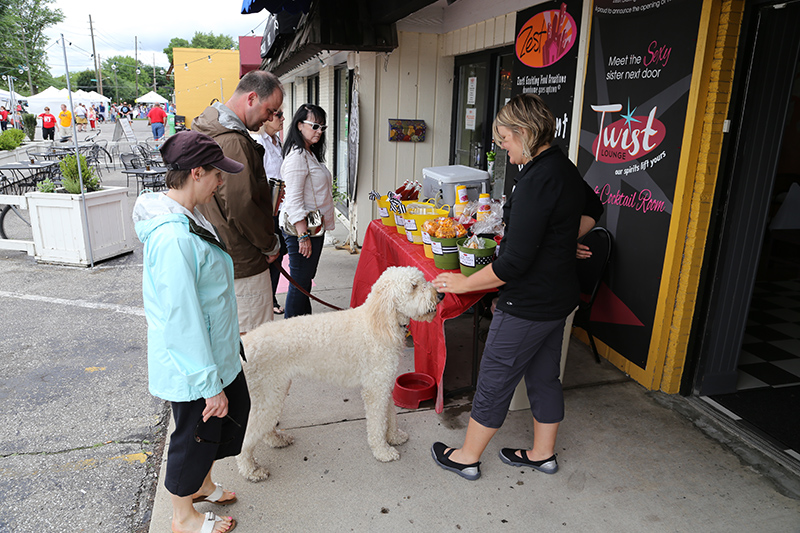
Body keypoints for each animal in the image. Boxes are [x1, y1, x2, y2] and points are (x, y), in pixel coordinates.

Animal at [238, 266, 440, 482]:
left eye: (422, 281)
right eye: (414, 286)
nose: (440, 295)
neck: (380, 323)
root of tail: (243, 344)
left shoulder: (384, 383)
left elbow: (390, 415)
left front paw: (394, 437)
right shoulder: (375, 388)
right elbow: (378, 423)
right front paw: (382, 451)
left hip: (273, 392)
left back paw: (277, 440)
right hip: (266, 396)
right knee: (247, 437)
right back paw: (251, 470)